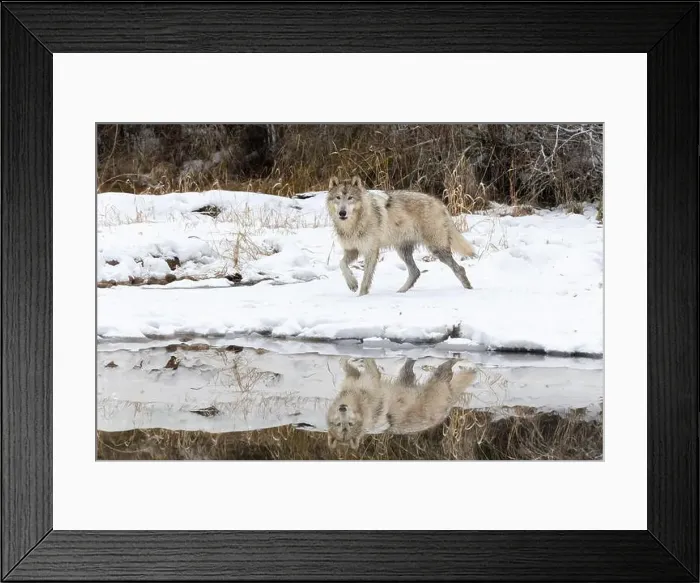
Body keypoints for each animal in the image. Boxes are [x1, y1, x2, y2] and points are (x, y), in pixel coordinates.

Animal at [326, 175, 476, 296]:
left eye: (350, 198)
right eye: (338, 198)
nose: (342, 213)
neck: (352, 225)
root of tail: (440, 204)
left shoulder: (371, 252)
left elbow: (365, 281)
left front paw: (361, 296)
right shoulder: (352, 250)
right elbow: (342, 264)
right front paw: (352, 284)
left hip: (437, 250)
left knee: (460, 269)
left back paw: (469, 290)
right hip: (403, 251)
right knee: (416, 272)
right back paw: (400, 293)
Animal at [326, 357, 477, 450]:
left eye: (349, 424)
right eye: (341, 425)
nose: (342, 408)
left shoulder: (360, 379)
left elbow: (349, 365)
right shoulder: (368, 380)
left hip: (410, 380)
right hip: (435, 384)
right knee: (444, 372)